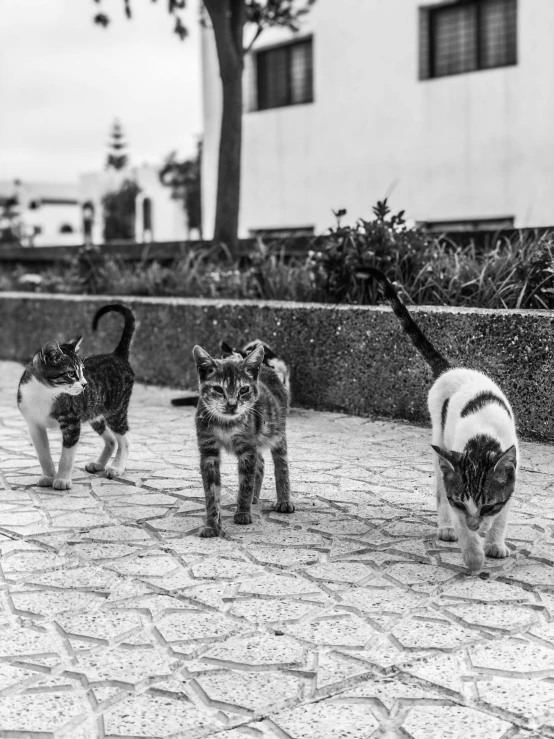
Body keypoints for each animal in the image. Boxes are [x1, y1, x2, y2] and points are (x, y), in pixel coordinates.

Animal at [18, 304, 135, 488]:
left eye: (83, 371)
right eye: (72, 374)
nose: (85, 384)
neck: (43, 393)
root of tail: (117, 355)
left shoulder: (72, 422)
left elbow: (67, 456)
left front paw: (62, 480)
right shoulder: (34, 425)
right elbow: (43, 453)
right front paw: (49, 475)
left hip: (116, 410)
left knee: (125, 439)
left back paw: (117, 467)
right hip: (94, 413)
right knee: (111, 440)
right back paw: (98, 464)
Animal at [192, 342, 294, 536]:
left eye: (244, 389)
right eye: (218, 389)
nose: (232, 405)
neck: (226, 424)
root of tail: (267, 368)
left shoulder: (247, 448)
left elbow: (246, 481)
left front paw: (243, 513)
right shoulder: (208, 450)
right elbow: (211, 491)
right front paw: (211, 524)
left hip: (277, 432)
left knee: (281, 464)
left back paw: (284, 501)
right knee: (260, 462)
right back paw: (255, 497)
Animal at [360, 268, 516, 576]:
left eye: (488, 506)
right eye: (463, 504)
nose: (475, 525)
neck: (482, 438)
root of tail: (450, 369)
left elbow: (503, 514)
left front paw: (494, 543)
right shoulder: (455, 489)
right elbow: (453, 506)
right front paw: (473, 555)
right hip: (439, 436)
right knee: (439, 490)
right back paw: (446, 528)